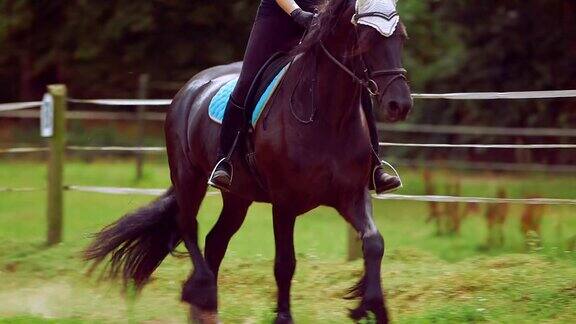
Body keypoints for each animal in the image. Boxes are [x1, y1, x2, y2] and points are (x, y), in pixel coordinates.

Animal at [83, 1, 412, 322]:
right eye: (367, 39)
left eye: (400, 37)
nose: (400, 105)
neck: (326, 118)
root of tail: (190, 89)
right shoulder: (284, 202)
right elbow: (285, 263)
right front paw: (283, 317)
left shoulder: (352, 195)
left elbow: (374, 242)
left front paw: (372, 306)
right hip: (189, 177)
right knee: (188, 226)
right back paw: (202, 291)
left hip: (238, 196)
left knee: (215, 240)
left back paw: (204, 310)